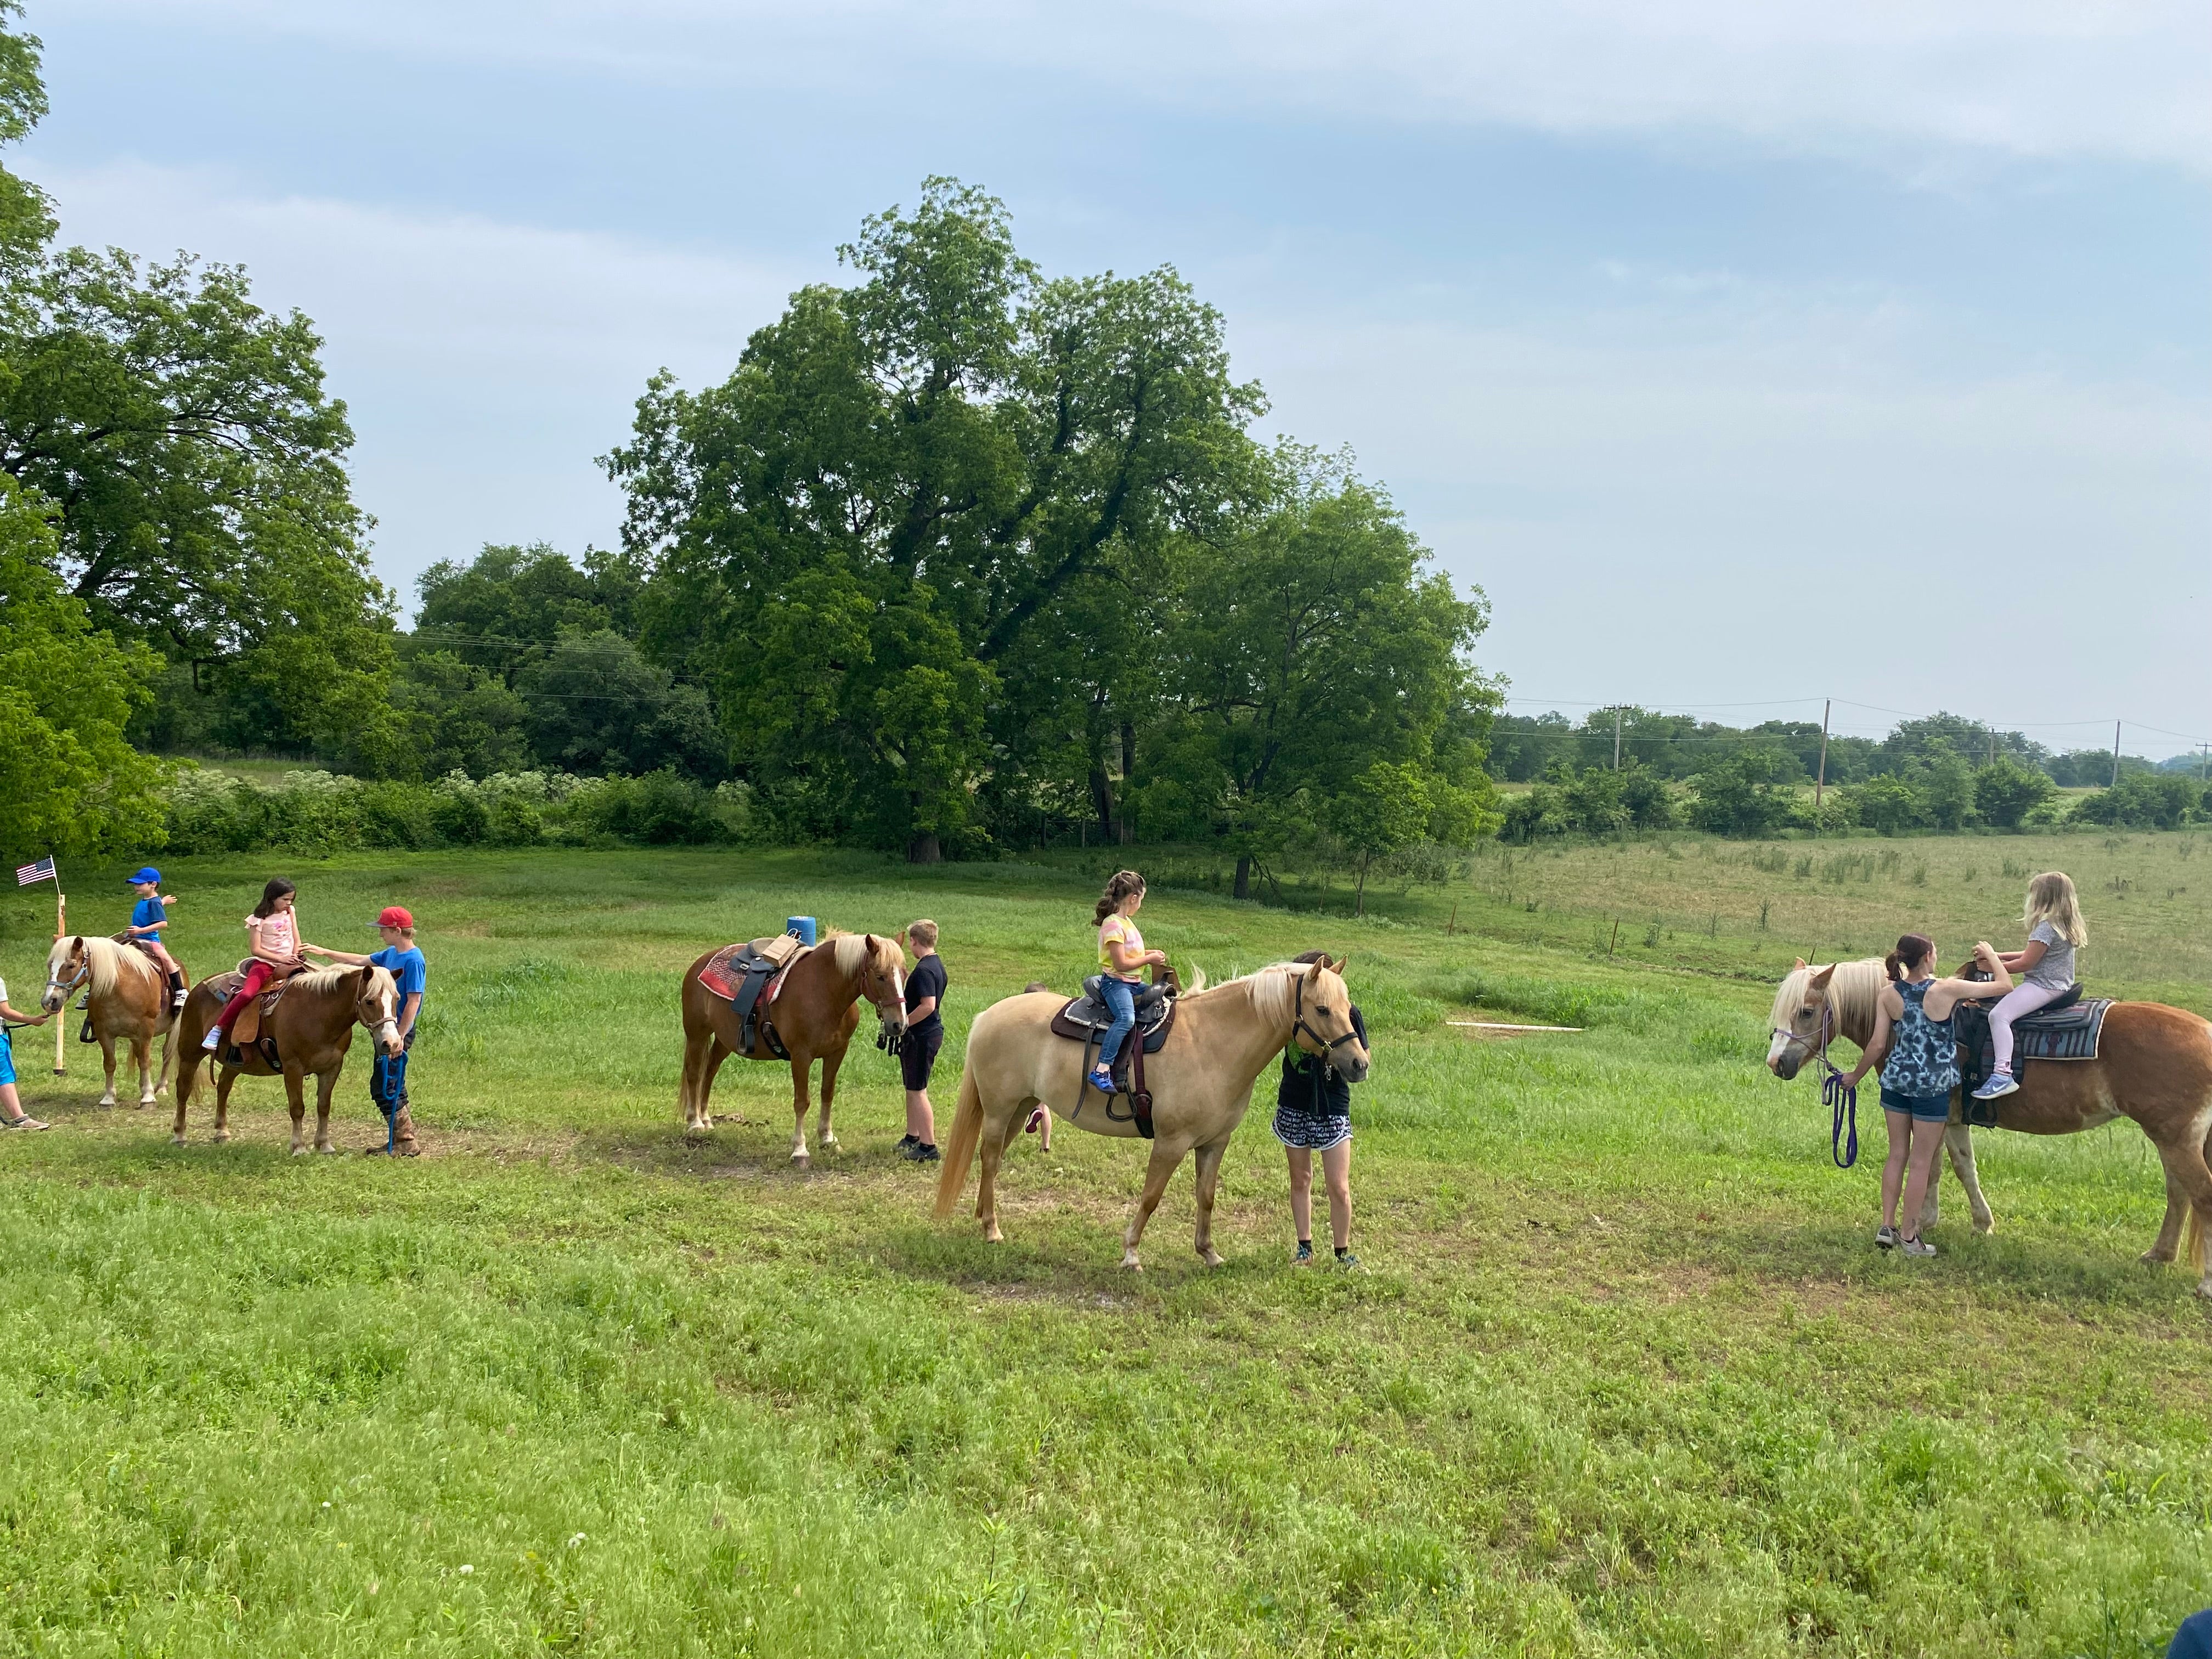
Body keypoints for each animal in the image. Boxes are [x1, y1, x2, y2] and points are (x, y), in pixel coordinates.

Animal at [170, 960, 404, 1159]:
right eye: (369, 1001)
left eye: (397, 999)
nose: (392, 1043)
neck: (318, 1012)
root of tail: (197, 989)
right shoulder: (293, 1067)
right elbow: (297, 1108)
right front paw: (299, 1147)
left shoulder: (332, 1067)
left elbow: (324, 1106)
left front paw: (324, 1144)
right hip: (190, 1054)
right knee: (183, 1090)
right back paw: (180, 1135)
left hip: (235, 1062)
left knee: (224, 1087)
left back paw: (221, 1132)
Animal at [676, 938, 911, 1167]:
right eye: (880, 977)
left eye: (904, 974)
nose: (899, 1024)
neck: (824, 991)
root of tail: (699, 964)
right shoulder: (801, 1056)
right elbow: (801, 1102)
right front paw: (800, 1150)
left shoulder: (837, 1052)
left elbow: (827, 1093)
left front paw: (828, 1139)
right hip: (697, 1034)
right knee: (694, 1074)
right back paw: (695, 1122)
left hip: (725, 1039)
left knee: (710, 1071)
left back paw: (706, 1119)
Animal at [933, 960, 1362, 1274]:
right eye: (1322, 1009)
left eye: (1348, 1009)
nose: (1359, 1064)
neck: (1213, 1043)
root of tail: (988, 1016)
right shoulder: (1171, 1143)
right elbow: (1152, 1197)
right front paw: (1131, 1253)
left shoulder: (1214, 1143)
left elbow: (1206, 1197)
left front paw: (1208, 1253)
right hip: (999, 1109)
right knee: (990, 1159)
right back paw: (992, 1229)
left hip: (1019, 1107)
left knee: (992, 1159)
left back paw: (982, 1216)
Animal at [1769, 946, 2212, 1300]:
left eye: (1806, 1011)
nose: (1776, 1063)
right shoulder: (1954, 1120)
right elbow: (1964, 1166)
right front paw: (1981, 1223)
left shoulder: (1935, 1113)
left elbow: (1932, 1168)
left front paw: (1924, 1223)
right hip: (2169, 1138)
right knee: (2179, 1194)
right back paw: (2158, 1255)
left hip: (2177, 1139)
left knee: (2200, 1195)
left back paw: (2204, 1283)